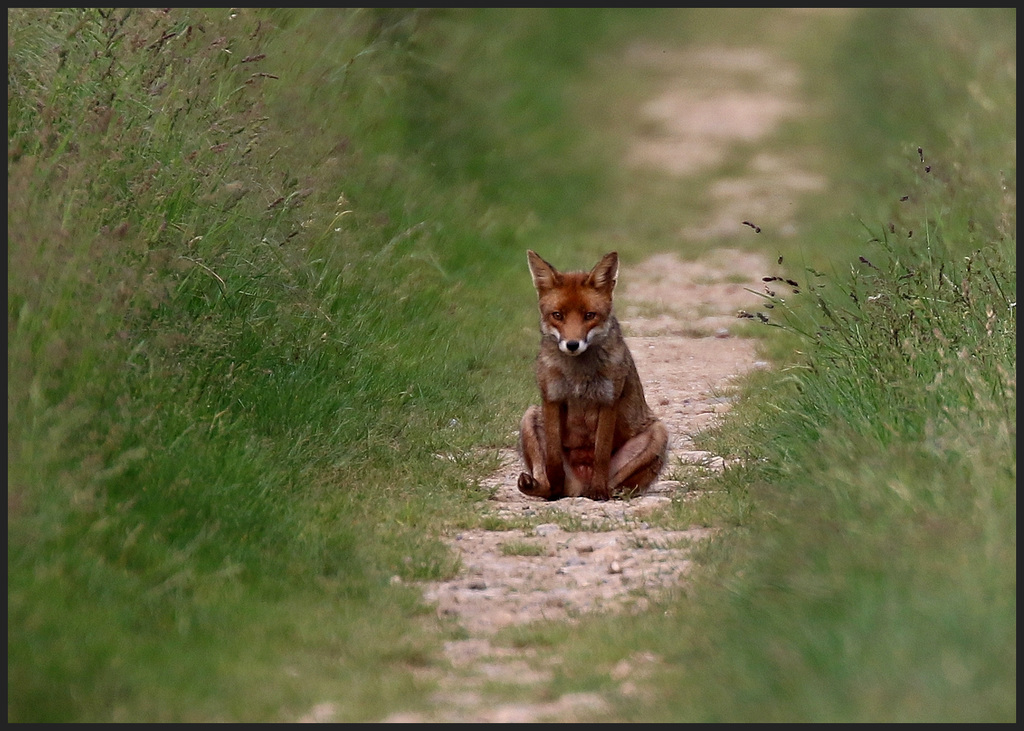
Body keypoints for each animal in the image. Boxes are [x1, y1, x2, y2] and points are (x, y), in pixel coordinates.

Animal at [516, 250, 667, 501]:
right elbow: (553, 456)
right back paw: (547, 490)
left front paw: (598, 490)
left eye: (589, 315)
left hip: (658, 433)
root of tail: (579, 488)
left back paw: (604, 492)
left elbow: (601, 454)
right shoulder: (552, 398)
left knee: (616, 483)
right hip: (529, 417)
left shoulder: (608, 400)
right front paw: (554, 487)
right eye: (557, 315)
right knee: (545, 476)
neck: (577, 376)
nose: (572, 344)